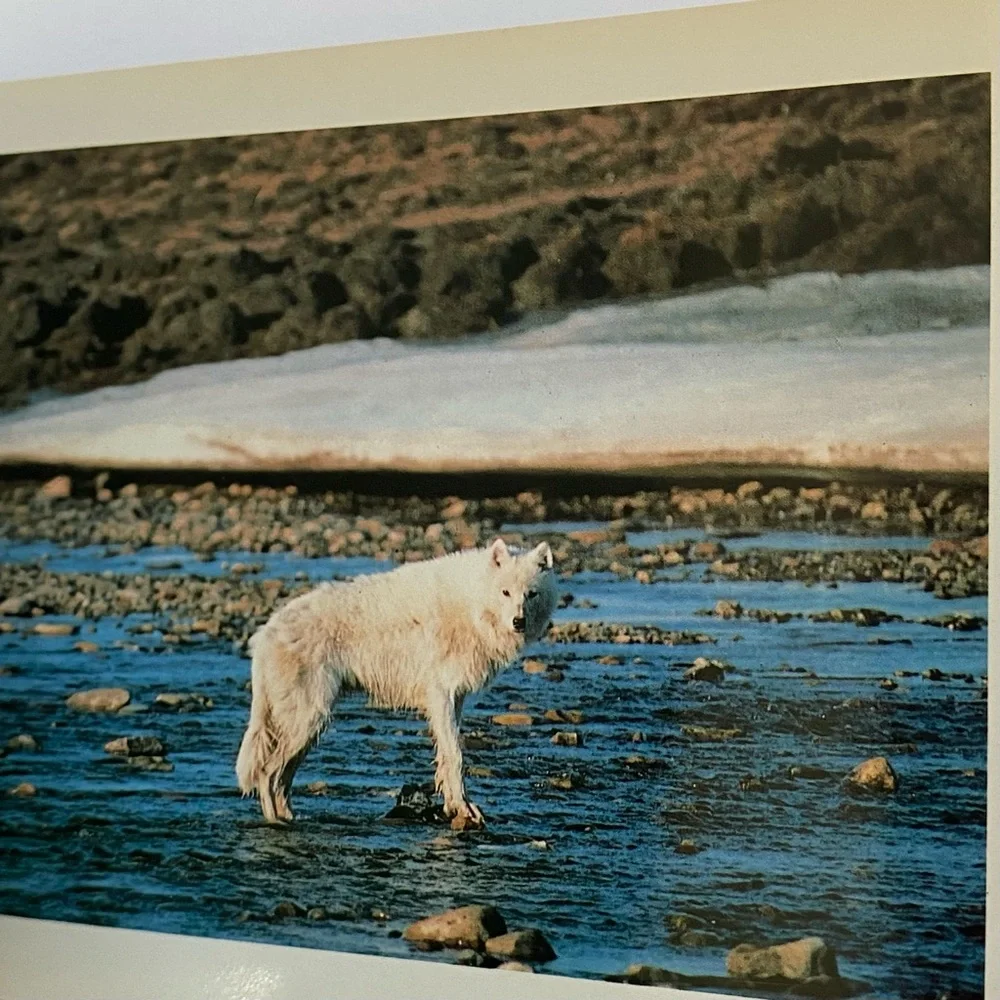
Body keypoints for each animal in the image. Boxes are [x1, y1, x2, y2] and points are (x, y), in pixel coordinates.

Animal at [236, 537, 557, 825]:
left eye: (531, 594)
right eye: (505, 592)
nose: (518, 622)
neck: (471, 605)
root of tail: (265, 632)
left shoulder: (454, 698)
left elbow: (446, 758)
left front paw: (455, 807)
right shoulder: (440, 694)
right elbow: (455, 756)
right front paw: (465, 810)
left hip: (310, 727)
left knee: (282, 778)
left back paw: (288, 817)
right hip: (309, 719)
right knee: (266, 772)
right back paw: (275, 822)